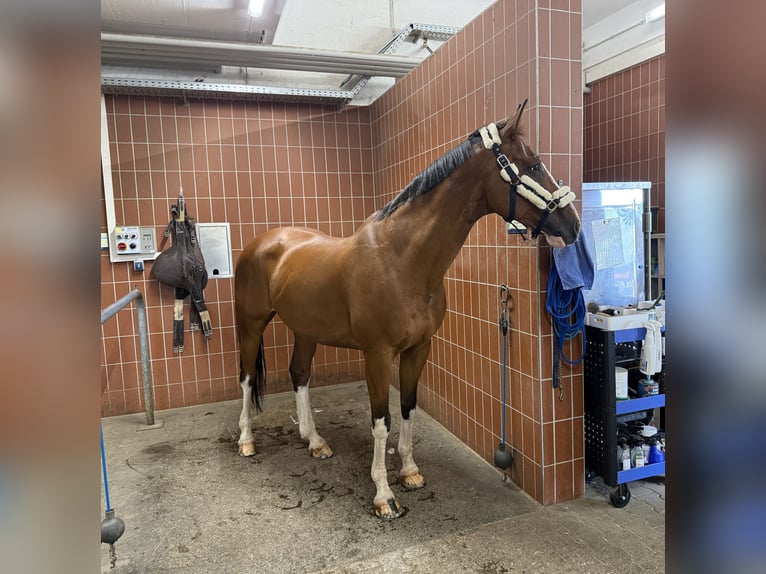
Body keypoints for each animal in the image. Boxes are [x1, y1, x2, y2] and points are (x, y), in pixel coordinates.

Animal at [234, 101, 581, 519]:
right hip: (251, 324)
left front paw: (410, 471)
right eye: (533, 165)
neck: (401, 260)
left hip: (306, 330)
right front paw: (384, 494)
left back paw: (314, 441)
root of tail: (264, 242)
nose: (573, 226)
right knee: (246, 377)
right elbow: (381, 420)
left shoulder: (419, 349)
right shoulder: (377, 354)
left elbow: (408, 408)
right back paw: (246, 440)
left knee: (299, 374)